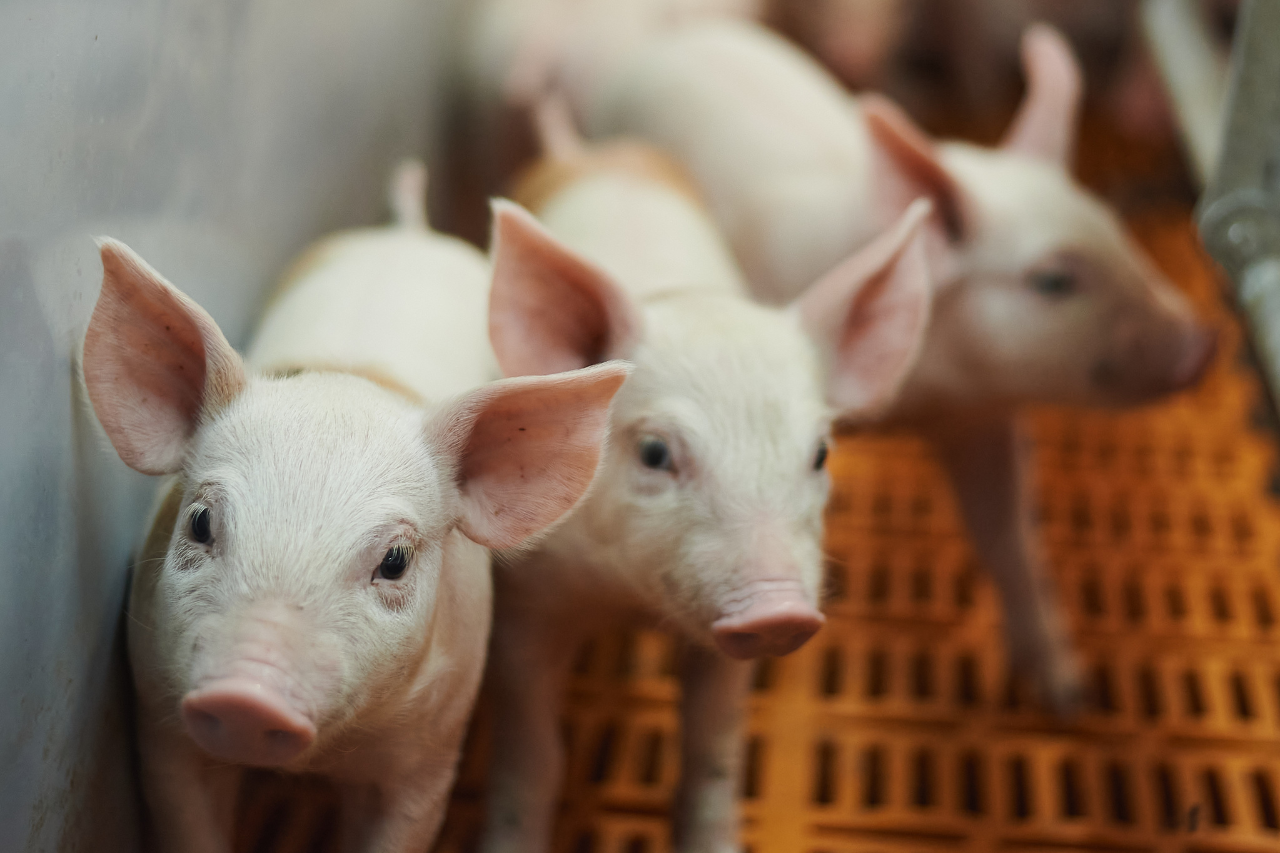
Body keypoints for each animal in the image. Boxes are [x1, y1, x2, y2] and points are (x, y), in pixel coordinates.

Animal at [83, 162, 628, 853]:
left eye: (394, 561)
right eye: (200, 522)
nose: (245, 698)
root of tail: (409, 232)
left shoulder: (431, 755)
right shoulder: (161, 725)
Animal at [462, 11, 1217, 711]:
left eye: (1119, 232)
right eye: (1054, 280)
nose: (1202, 343)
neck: (918, 395)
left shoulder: (978, 413)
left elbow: (1006, 533)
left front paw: (1069, 695)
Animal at [476, 102, 933, 853]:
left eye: (820, 453)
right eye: (655, 452)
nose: (779, 608)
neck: (624, 597)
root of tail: (590, 152)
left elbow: (711, 749)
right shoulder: (524, 605)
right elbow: (534, 754)